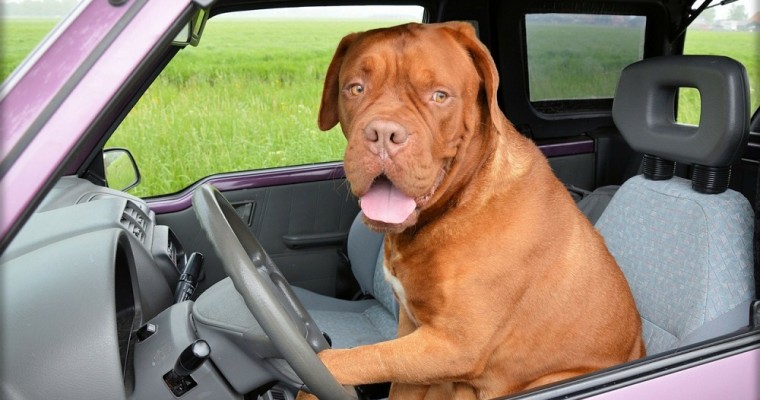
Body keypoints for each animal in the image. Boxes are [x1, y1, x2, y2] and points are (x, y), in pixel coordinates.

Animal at [308, 22, 640, 400]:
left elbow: (353, 359)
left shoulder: (454, 344)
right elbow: (392, 372)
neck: (459, 200)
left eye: (439, 96)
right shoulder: (410, 329)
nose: (382, 133)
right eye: (356, 88)